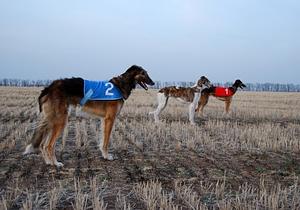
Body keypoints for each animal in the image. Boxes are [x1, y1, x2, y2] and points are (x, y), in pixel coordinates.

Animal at [23, 65, 155, 167]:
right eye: (143, 73)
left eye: (146, 73)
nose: (153, 82)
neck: (120, 85)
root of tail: (49, 87)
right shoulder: (110, 118)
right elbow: (106, 141)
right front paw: (107, 156)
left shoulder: (104, 120)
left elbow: (103, 139)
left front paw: (104, 154)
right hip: (60, 120)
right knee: (49, 145)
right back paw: (56, 163)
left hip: (53, 120)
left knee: (43, 145)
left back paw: (49, 162)